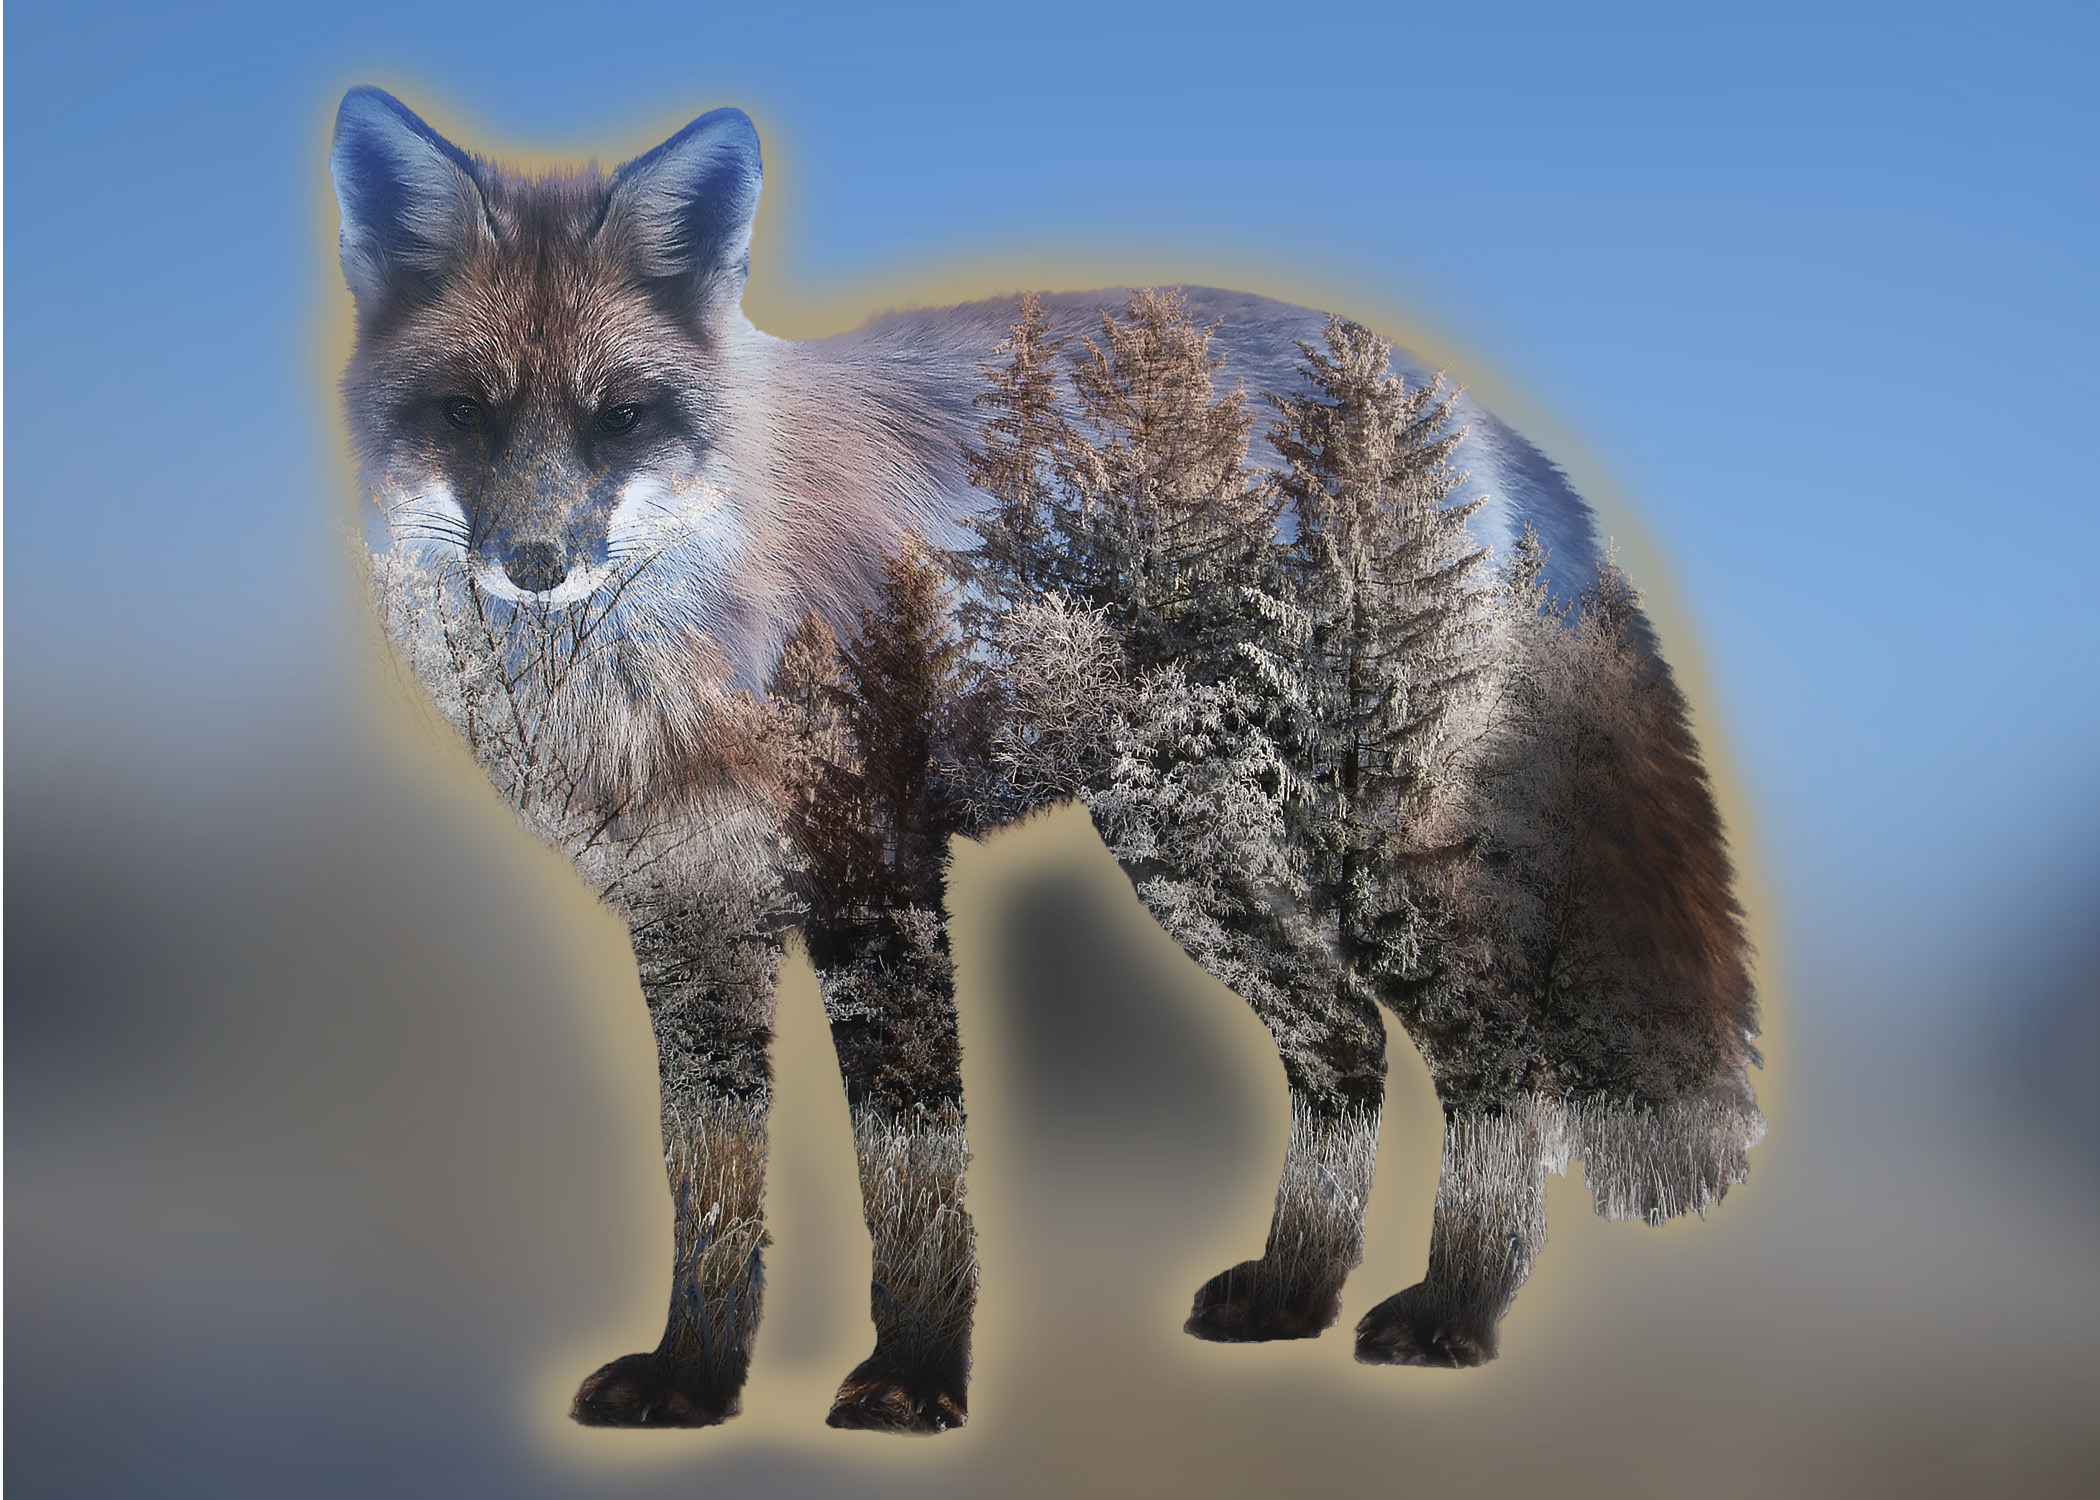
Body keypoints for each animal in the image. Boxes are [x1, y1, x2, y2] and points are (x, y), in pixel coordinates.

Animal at [333, 86, 1762, 1434]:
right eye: (464, 414)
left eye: (621, 419)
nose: (534, 562)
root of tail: (1437, 384)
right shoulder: (687, 927)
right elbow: (713, 1190)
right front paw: (694, 1384)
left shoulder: (881, 891)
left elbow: (912, 1173)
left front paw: (911, 1384)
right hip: (1199, 869)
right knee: (1347, 1051)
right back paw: (1296, 1295)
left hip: (1384, 871)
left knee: (1498, 1069)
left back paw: (1453, 1315)